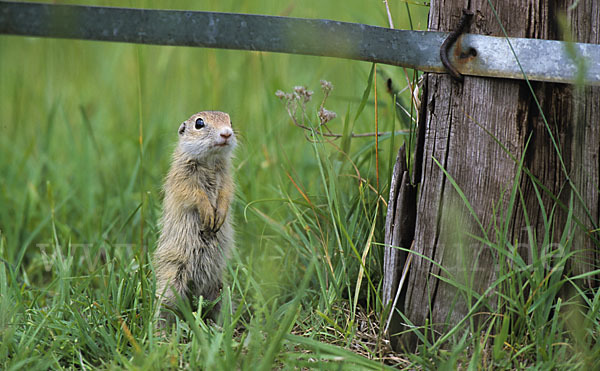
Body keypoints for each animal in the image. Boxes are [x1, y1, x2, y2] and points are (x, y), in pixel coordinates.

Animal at [155, 110, 237, 326]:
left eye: (230, 121)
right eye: (199, 123)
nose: (227, 133)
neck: (210, 161)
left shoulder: (227, 176)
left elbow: (226, 192)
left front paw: (220, 215)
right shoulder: (183, 176)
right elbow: (193, 193)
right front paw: (208, 214)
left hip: (220, 287)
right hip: (173, 279)